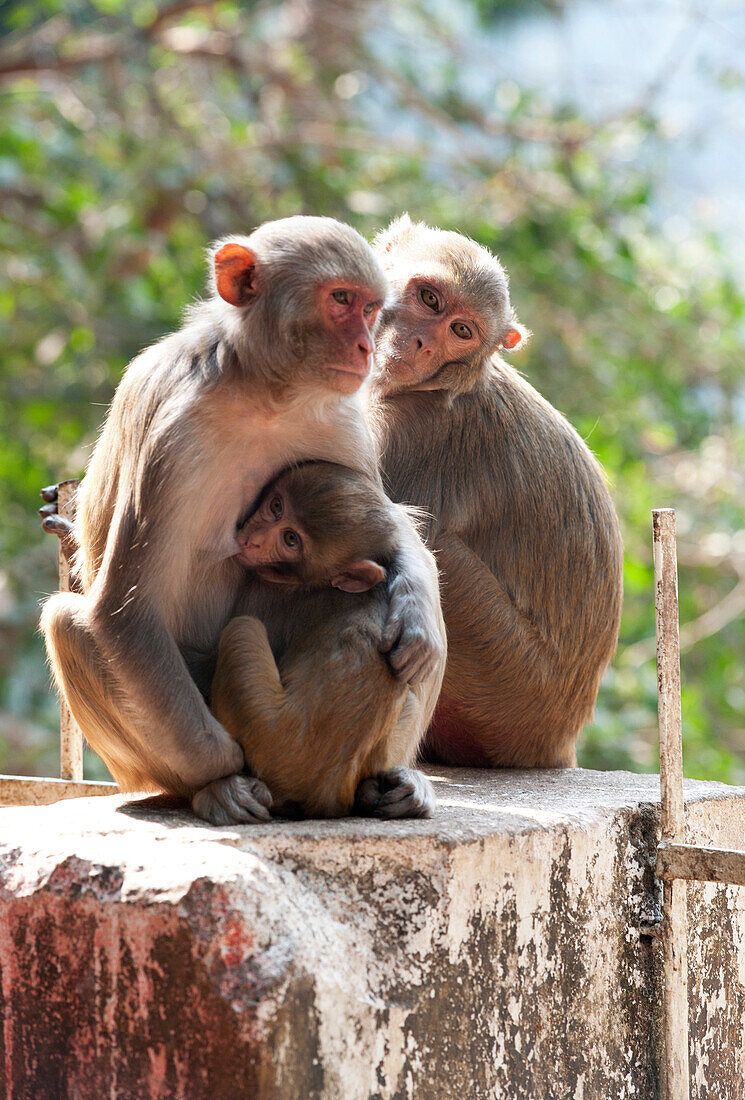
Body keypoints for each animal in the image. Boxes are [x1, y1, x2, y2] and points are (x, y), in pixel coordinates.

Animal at [209, 462, 435, 818]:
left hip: (264, 729)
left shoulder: (265, 590)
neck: (325, 583)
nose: (253, 540)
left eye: (290, 539)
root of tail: (326, 793)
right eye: (276, 506)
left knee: (241, 630)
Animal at [369, 212, 620, 765]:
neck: (434, 386)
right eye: (430, 299)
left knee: (431, 544)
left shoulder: (405, 435)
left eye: (461, 332)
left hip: (510, 683)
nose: (421, 344)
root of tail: (559, 739)